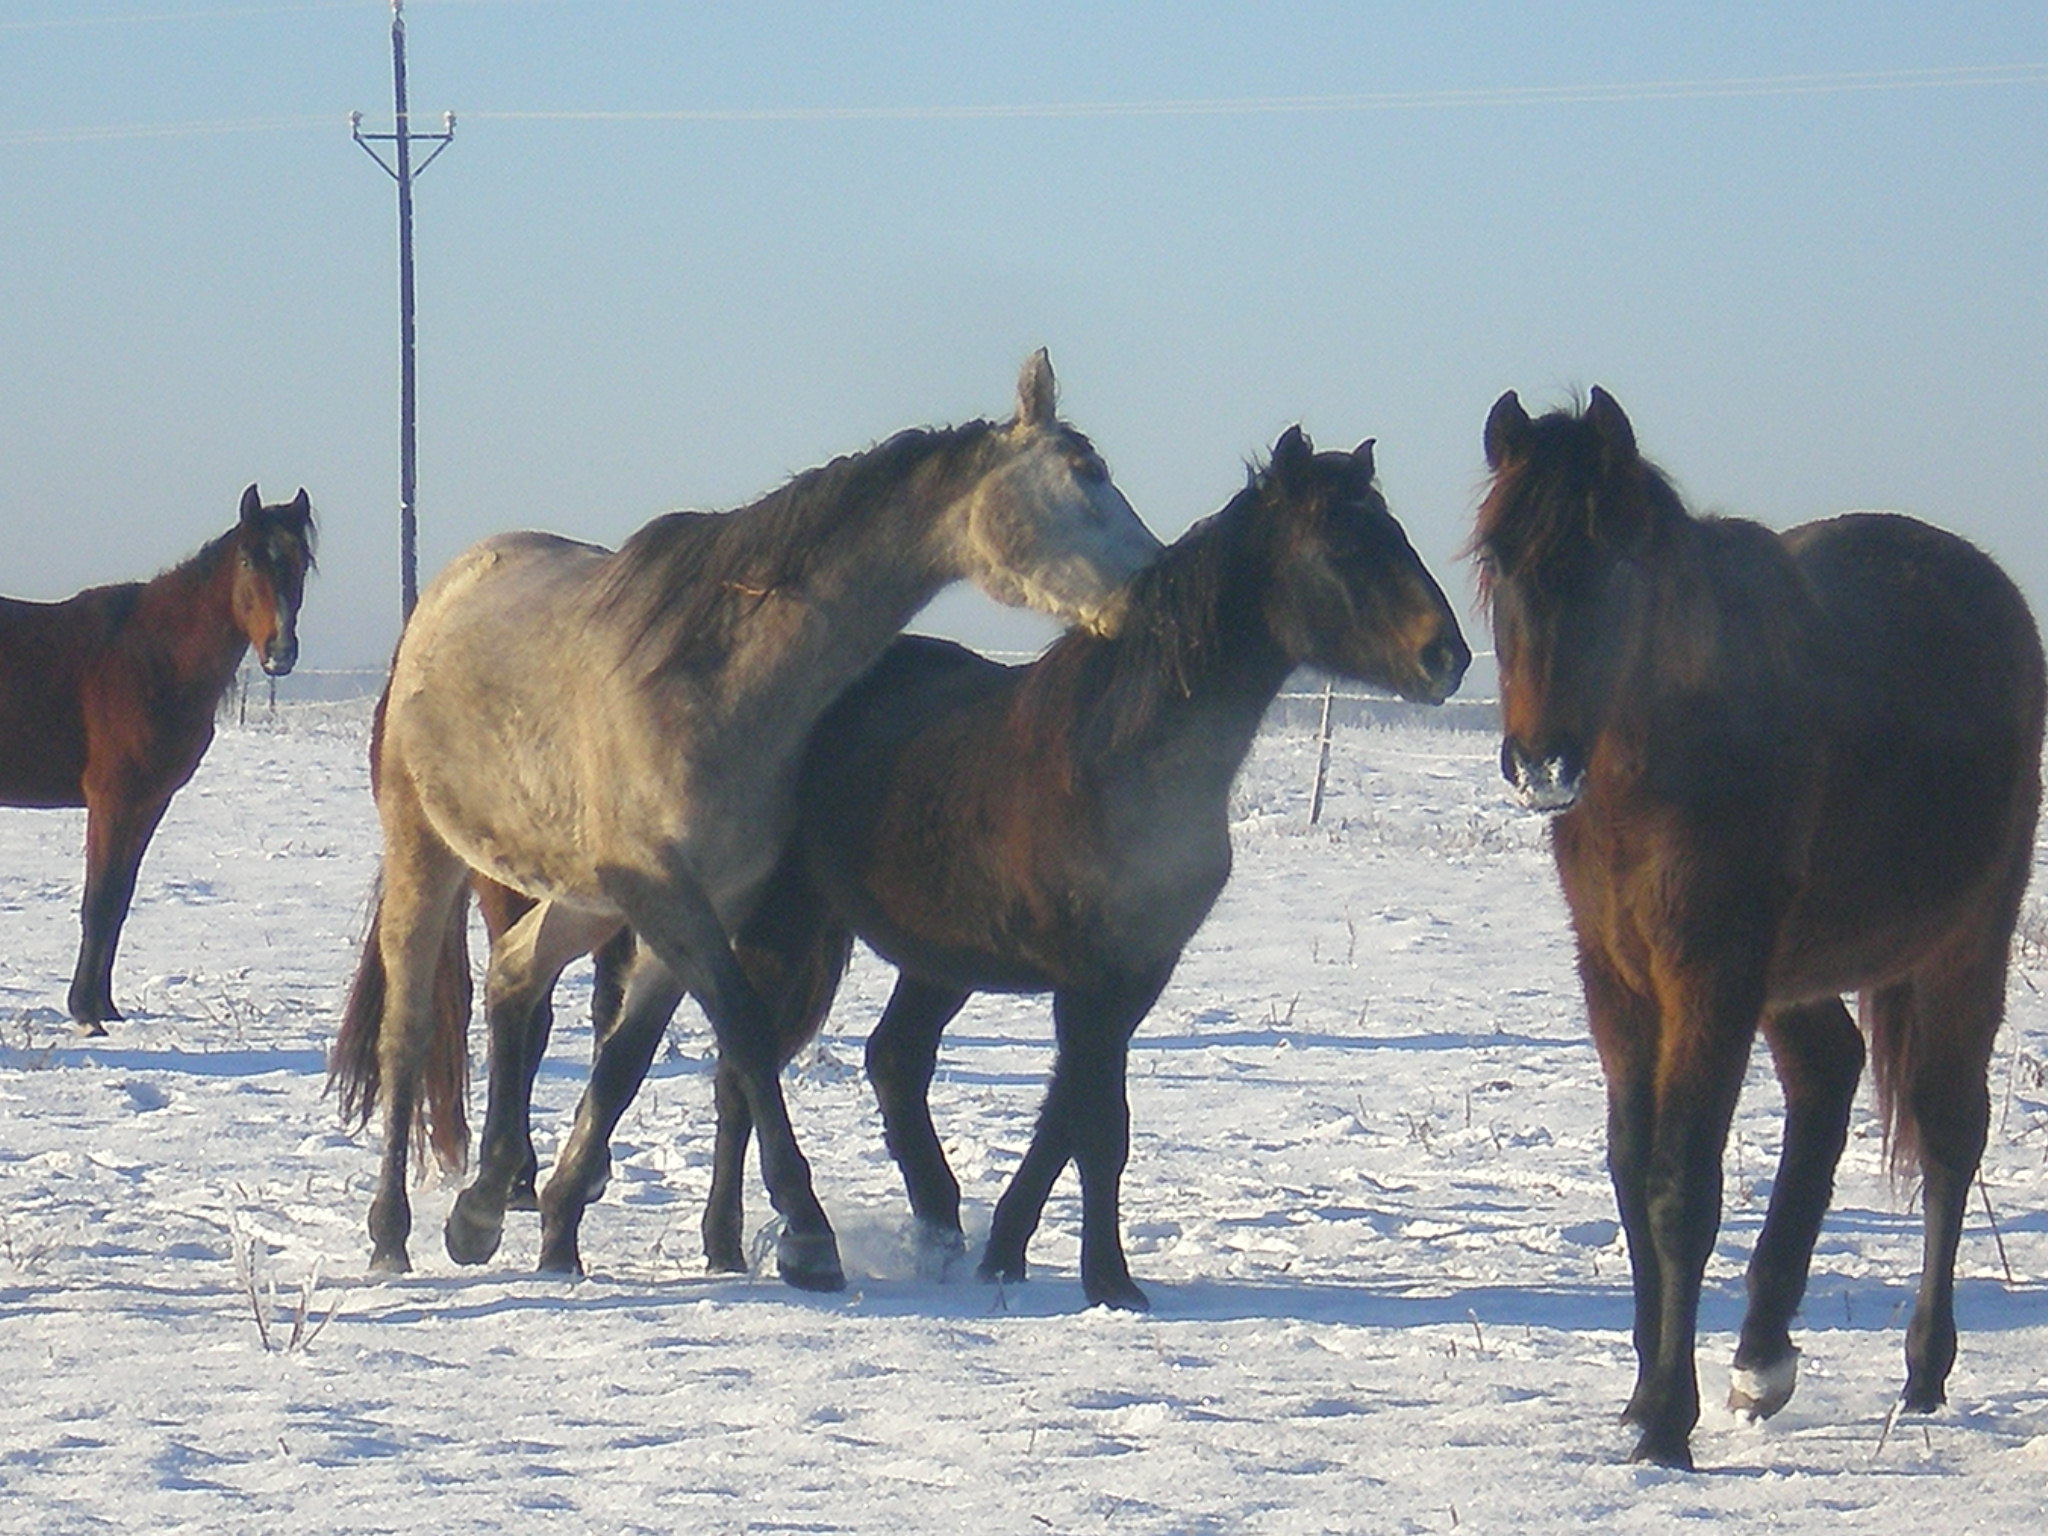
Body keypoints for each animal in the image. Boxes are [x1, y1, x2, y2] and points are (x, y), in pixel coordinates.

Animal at [0, 483, 315, 1036]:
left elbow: (119, 902)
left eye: (300, 562)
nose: (281, 652)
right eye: (249, 559)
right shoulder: (112, 801)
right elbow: (99, 901)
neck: (151, 659)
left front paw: (104, 1007)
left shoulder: (148, 804)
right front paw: (86, 1015)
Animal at [329, 358, 1163, 1286]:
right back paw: (391, 1234)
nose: (1160, 586)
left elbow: (627, 1062)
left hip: (585, 895)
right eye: (1084, 477)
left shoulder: (704, 903)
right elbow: (748, 1036)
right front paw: (807, 1233)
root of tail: (446, 594)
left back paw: (482, 1207)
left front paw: (562, 1226)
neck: (718, 679)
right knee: (408, 1032)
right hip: (428, 854)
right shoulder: (670, 896)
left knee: (515, 976)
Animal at [696, 423, 1466, 1310]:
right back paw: (729, 1245)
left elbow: (1074, 1116)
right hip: (792, 931)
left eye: (1393, 531)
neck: (1122, 754)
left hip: (939, 959)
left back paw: (940, 1234)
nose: (1448, 657)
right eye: (1343, 544)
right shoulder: (1090, 976)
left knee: (894, 1062)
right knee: (743, 1070)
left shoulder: (1132, 975)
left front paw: (1009, 1254)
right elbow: (1096, 1128)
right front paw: (1111, 1282)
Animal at [1482, 391, 2039, 1474]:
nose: (1540, 765)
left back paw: (1922, 1370)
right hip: (1792, 974)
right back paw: (1761, 1356)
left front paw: (1665, 1422)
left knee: (1949, 1132)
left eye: (1611, 565)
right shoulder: (1617, 977)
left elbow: (1679, 1186)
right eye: (1497, 564)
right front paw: (1647, 1399)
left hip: (1961, 945)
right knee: (1828, 1078)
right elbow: (1630, 1167)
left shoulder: (1708, 971)